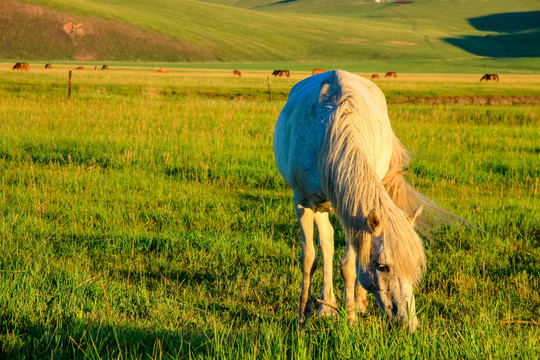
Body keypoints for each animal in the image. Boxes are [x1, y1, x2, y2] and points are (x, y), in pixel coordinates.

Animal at [274, 69, 468, 332]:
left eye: (415, 266)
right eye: (383, 267)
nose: (409, 325)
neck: (332, 133)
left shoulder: (353, 212)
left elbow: (349, 265)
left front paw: (351, 317)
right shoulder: (302, 201)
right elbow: (309, 259)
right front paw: (303, 317)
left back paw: (355, 303)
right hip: (322, 206)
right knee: (326, 244)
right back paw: (327, 307)